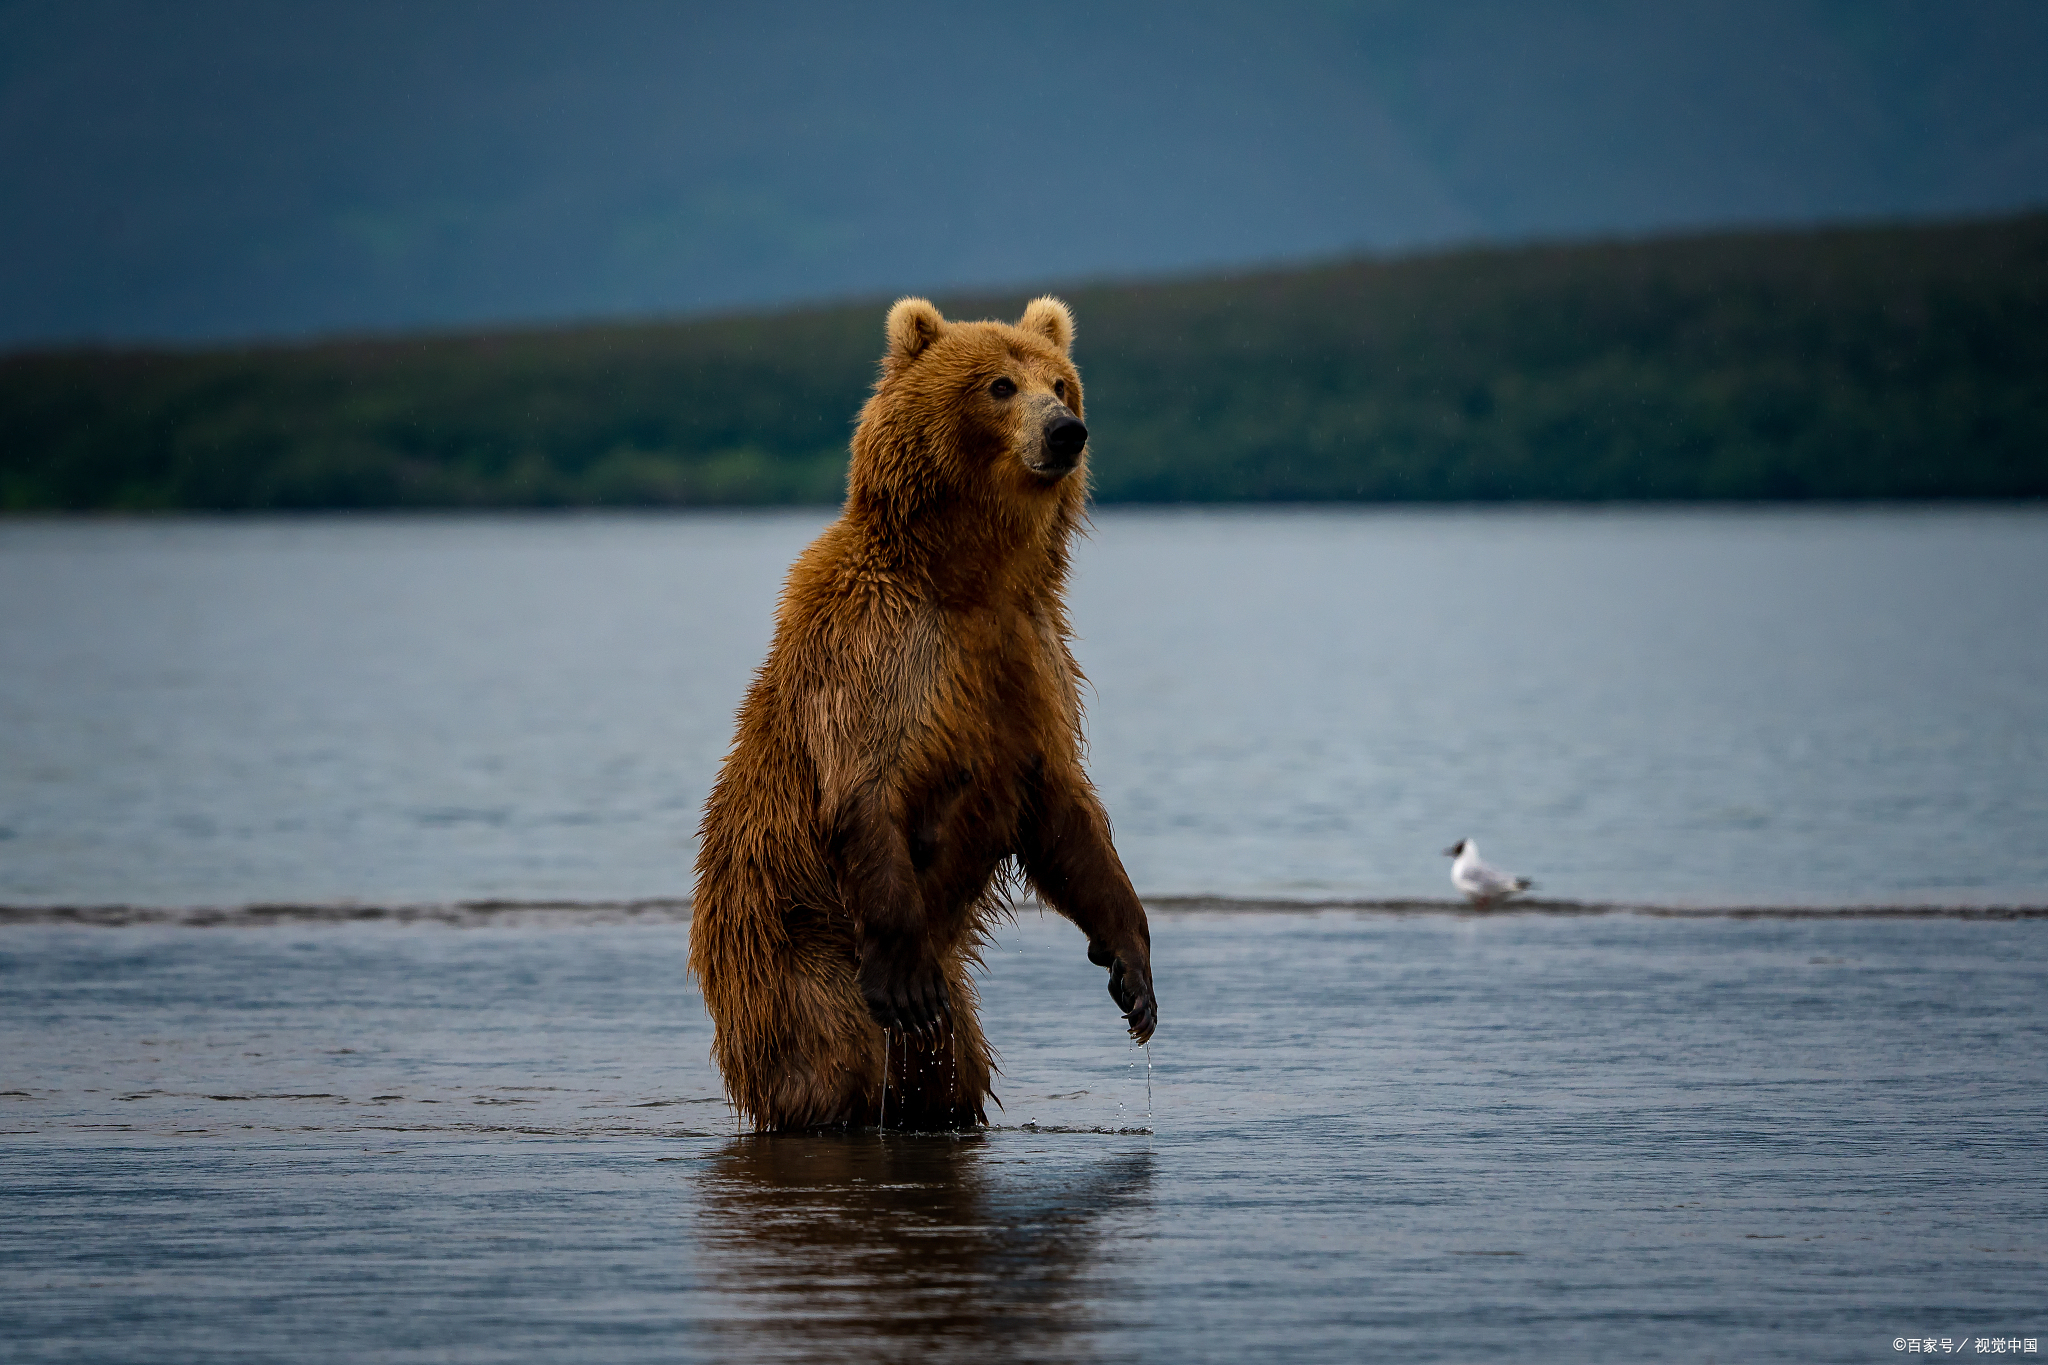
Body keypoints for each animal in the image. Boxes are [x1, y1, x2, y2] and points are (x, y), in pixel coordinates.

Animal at [696, 296, 1163, 1129]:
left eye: (1061, 383)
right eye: (1000, 385)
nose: (1065, 432)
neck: (970, 573)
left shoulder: (1033, 658)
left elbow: (1066, 811)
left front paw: (1133, 971)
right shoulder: (877, 646)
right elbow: (865, 782)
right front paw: (906, 980)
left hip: (955, 1017)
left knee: (955, 1076)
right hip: (797, 958)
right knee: (832, 1055)